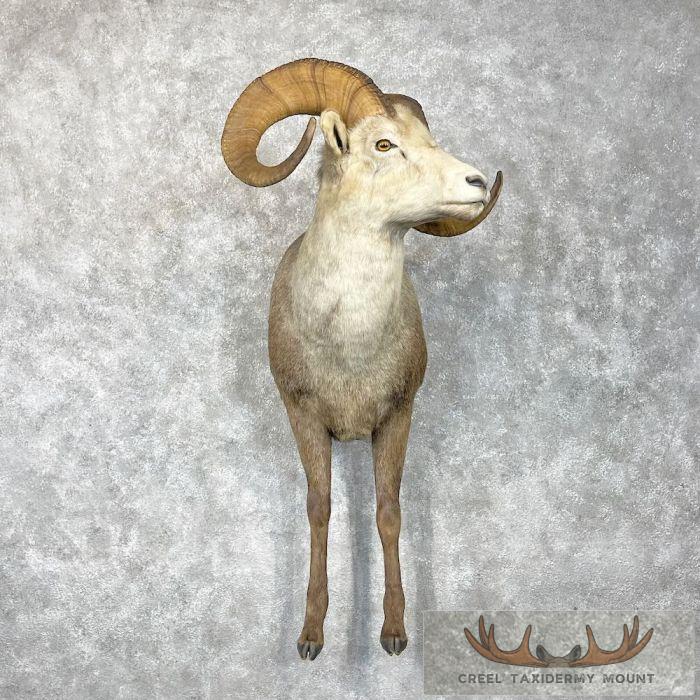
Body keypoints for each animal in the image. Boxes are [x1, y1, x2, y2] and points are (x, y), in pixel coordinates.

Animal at [221, 58, 502, 660]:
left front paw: (393, 634)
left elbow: (388, 513)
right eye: (384, 143)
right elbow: (320, 510)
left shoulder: (396, 418)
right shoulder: (304, 418)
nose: (475, 182)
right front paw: (311, 637)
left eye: (428, 139)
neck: (349, 348)